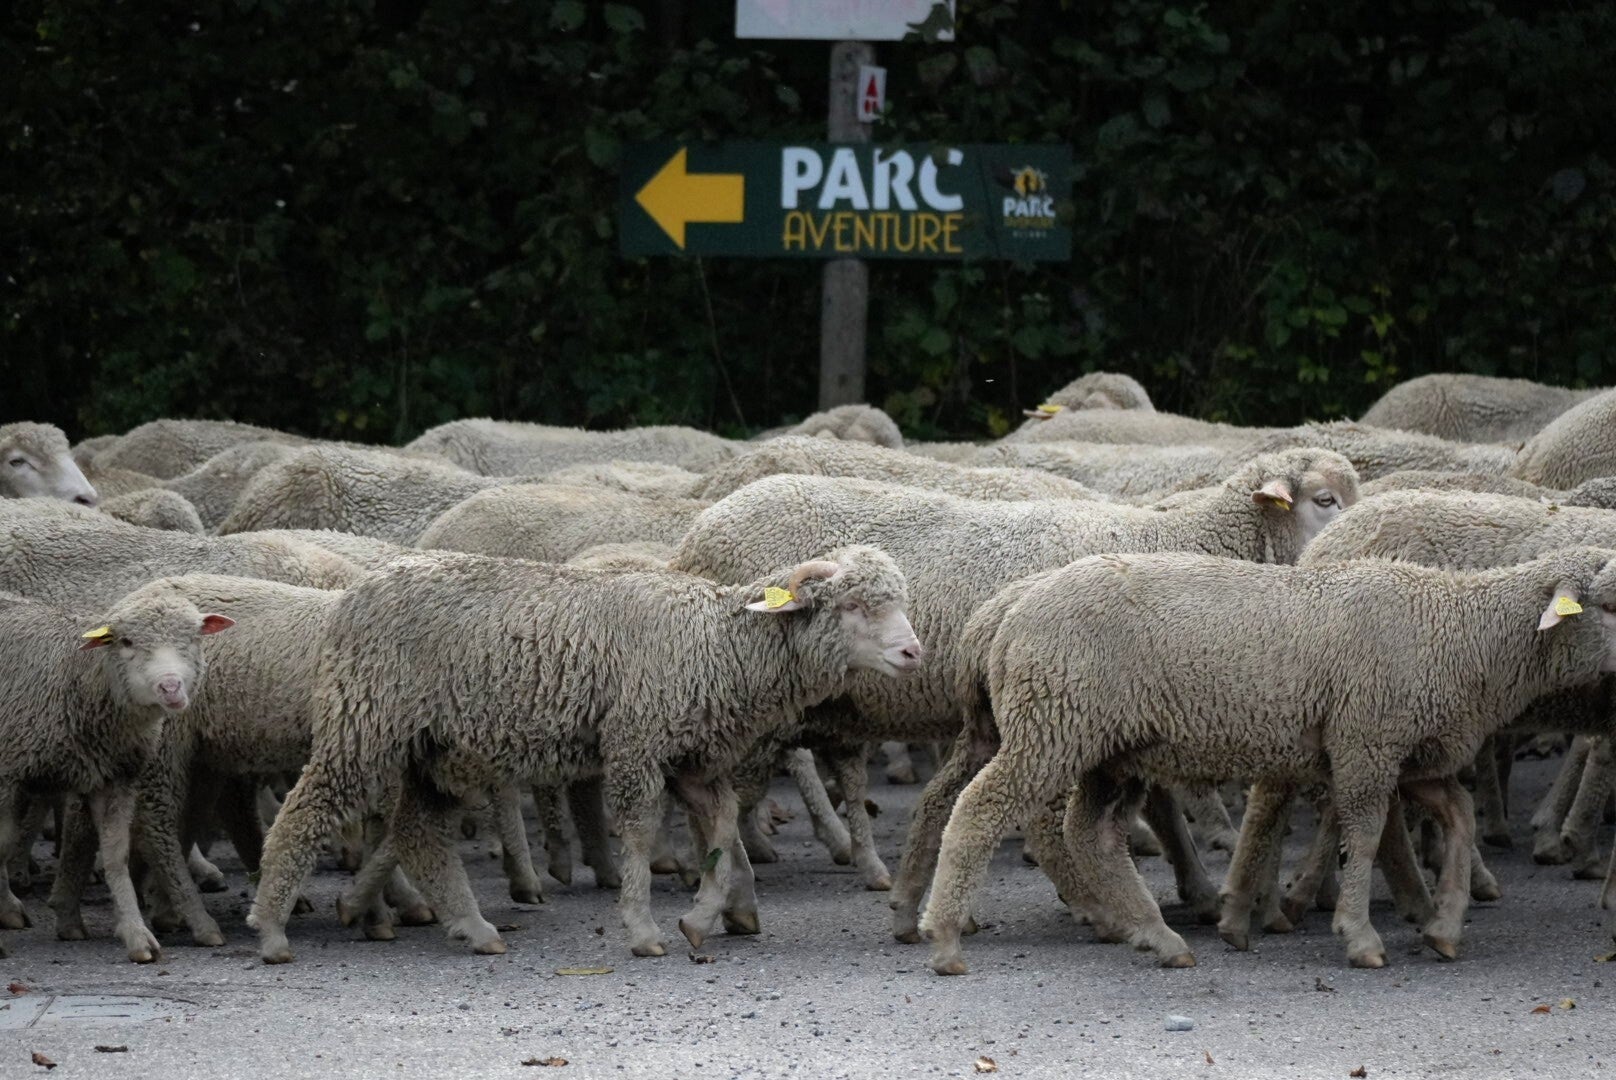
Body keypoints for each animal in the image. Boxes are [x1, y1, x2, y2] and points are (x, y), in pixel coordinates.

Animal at [0, 587, 234, 960]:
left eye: (193, 638)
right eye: (126, 641)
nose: (170, 687)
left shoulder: (114, 779)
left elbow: (115, 856)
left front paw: (136, 934)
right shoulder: (8, 777)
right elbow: (1, 846)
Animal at [247, 545, 921, 962]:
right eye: (852, 606)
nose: (915, 653)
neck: (714, 645)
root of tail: (350, 597)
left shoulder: (689, 757)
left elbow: (724, 828)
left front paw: (703, 916)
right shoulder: (637, 740)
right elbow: (641, 834)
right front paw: (644, 929)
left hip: (437, 751)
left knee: (418, 834)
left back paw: (476, 929)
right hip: (366, 722)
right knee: (305, 812)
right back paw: (272, 928)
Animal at [921, 547, 1616, 974]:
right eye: (1608, 606)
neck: (1464, 634)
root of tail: (1006, 612)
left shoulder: (1410, 752)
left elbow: (1461, 813)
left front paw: (1445, 924)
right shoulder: (1366, 742)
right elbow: (1366, 836)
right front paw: (1360, 937)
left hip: (1109, 748)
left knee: (1090, 833)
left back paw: (1157, 936)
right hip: (1053, 723)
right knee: (978, 810)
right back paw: (946, 936)